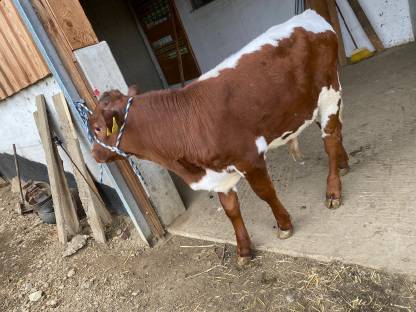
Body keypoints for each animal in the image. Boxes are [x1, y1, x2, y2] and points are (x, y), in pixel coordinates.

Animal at [89, 9, 350, 264]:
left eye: (97, 128)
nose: (93, 154)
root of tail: (308, 15)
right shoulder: (218, 175)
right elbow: (230, 209)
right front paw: (243, 250)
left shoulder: (249, 158)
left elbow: (265, 193)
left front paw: (284, 225)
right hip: (308, 102)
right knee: (335, 132)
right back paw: (344, 163)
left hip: (329, 92)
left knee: (330, 138)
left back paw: (333, 191)